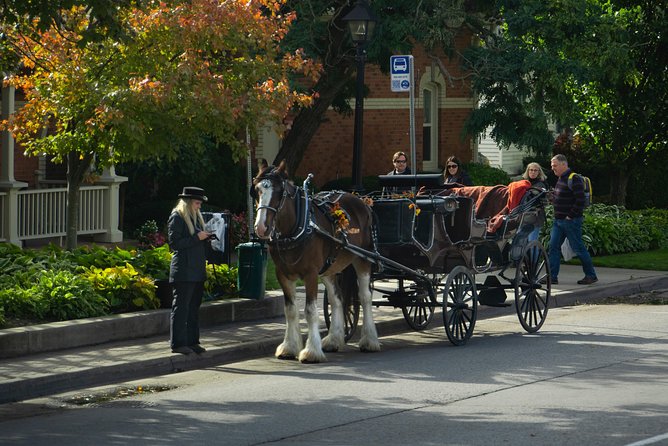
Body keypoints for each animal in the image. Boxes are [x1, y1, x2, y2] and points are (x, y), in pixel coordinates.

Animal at [252, 161, 378, 362]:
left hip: (363, 259)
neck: (294, 229)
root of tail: (363, 202)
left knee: (365, 297)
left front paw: (311, 351)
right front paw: (289, 347)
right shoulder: (282, 275)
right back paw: (334, 339)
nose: (261, 227)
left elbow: (310, 311)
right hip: (329, 267)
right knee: (337, 299)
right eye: (256, 190)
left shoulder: (310, 274)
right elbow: (290, 310)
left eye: (280, 192)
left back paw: (370, 340)